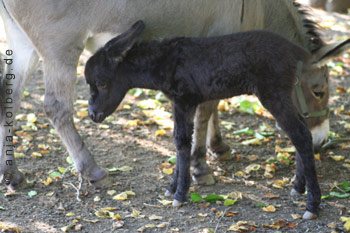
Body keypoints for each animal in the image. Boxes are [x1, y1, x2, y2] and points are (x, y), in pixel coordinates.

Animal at [85, 20, 322, 219]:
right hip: (284, 93)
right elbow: (178, 140)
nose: (92, 114)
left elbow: (182, 141)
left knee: (300, 134)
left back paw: (312, 206)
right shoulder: (179, 102)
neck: (164, 62)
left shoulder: (184, 99)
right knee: (302, 129)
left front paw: (180, 194)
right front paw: (172, 187)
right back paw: (298, 187)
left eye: (102, 83)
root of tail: (295, 52)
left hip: (273, 93)